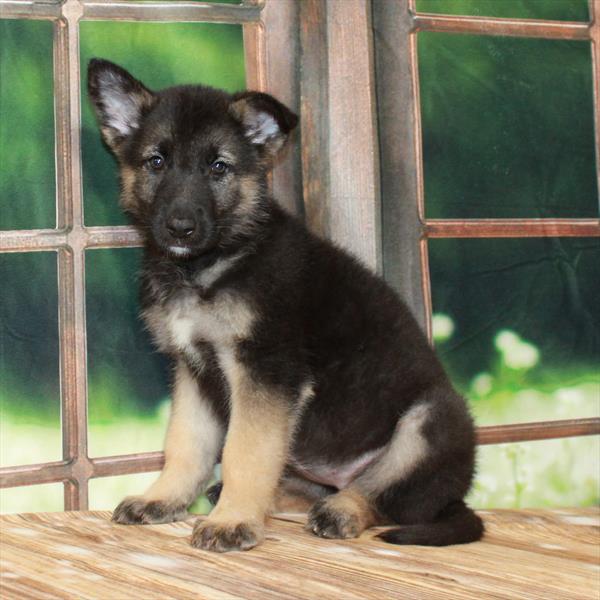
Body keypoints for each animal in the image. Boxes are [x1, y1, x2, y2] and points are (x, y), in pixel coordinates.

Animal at [88, 58, 482, 552]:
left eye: (219, 167)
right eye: (156, 162)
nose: (180, 228)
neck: (212, 266)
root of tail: (454, 495)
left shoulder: (267, 371)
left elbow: (245, 451)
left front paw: (232, 520)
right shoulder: (193, 372)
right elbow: (185, 444)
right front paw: (164, 499)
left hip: (432, 420)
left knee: (380, 494)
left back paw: (340, 511)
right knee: (317, 488)